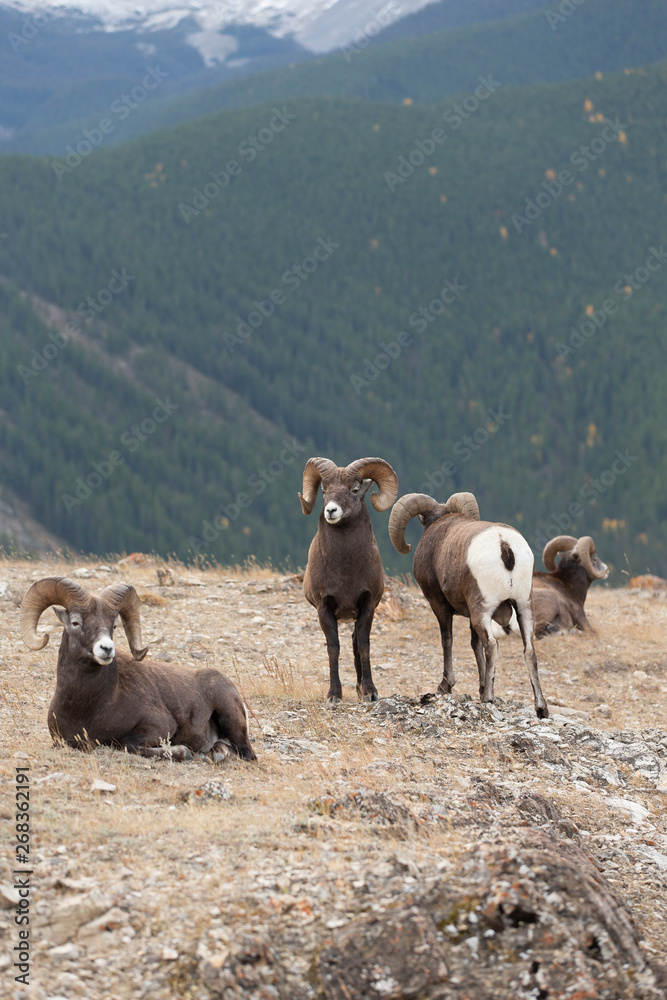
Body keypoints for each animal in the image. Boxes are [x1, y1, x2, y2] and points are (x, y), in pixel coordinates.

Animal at [19, 577, 256, 760]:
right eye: (75, 622)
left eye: (114, 625)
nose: (107, 648)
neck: (88, 707)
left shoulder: (159, 727)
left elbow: (127, 745)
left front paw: (181, 752)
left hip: (230, 716)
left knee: (246, 754)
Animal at [299, 456, 398, 702]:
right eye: (324, 491)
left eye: (354, 490)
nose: (331, 510)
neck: (344, 569)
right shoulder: (324, 608)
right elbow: (333, 648)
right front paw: (334, 694)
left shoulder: (367, 605)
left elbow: (363, 646)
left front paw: (370, 692)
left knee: (354, 642)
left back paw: (360, 689)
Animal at [389, 491, 548, 718]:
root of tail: (504, 544)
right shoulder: (471, 615)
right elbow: (475, 645)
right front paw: (480, 686)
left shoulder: (439, 604)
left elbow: (447, 640)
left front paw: (445, 686)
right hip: (523, 607)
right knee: (529, 650)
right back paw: (541, 708)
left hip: (482, 610)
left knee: (491, 645)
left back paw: (488, 698)